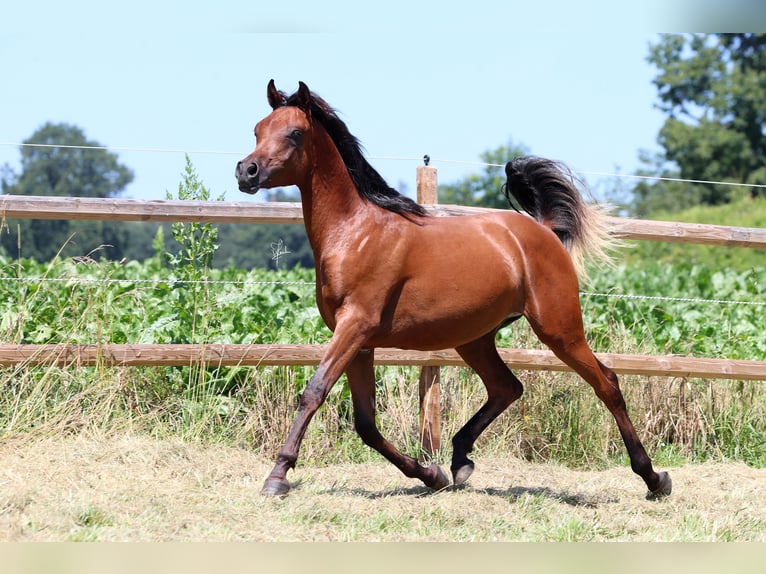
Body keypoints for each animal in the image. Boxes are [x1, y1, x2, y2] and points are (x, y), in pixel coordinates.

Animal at [234, 80, 672, 500]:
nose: (246, 172)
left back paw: (654, 479)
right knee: (507, 387)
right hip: (474, 337)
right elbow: (366, 423)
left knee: (607, 383)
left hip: (559, 329)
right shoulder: (359, 342)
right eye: (257, 129)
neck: (354, 233)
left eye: (294, 133)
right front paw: (430, 474)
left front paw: (276, 477)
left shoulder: (354, 327)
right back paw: (460, 460)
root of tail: (544, 232)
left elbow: (315, 391)